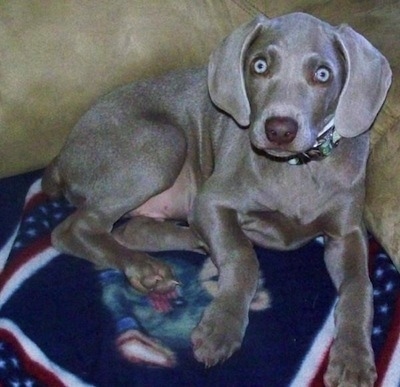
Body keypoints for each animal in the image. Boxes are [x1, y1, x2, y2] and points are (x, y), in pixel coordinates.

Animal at [43, 12, 390, 387]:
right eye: (259, 65)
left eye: (322, 74)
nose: (279, 130)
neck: (297, 169)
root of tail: (62, 154)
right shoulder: (213, 200)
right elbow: (243, 256)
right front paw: (222, 325)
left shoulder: (348, 233)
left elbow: (360, 285)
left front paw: (353, 358)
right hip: (163, 142)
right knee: (75, 229)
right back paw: (147, 267)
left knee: (130, 229)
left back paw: (185, 247)